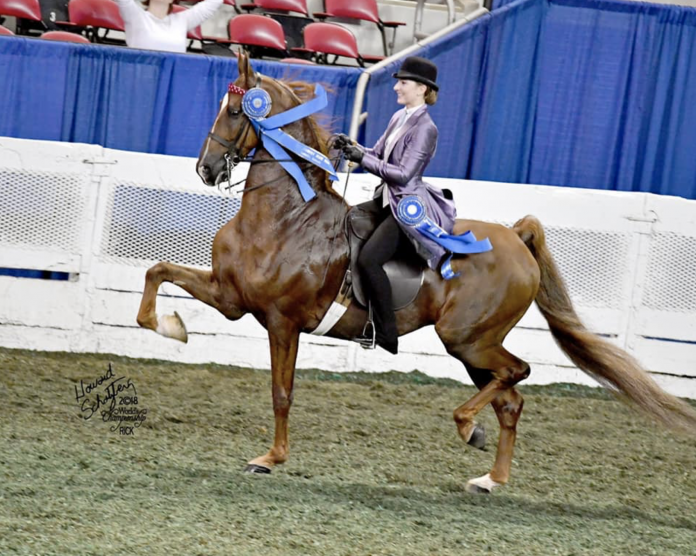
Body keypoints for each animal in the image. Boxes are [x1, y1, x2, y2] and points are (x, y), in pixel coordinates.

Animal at [137, 53, 696, 496]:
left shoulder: (281, 321)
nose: (206, 169)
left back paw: (468, 428)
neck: (283, 215)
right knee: (511, 399)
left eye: (235, 110)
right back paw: (490, 478)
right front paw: (173, 327)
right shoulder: (232, 298)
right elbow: (156, 272)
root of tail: (516, 238)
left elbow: (281, 393)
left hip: (467, 338)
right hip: (473, 348)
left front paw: (269, 459)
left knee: (516, 374)